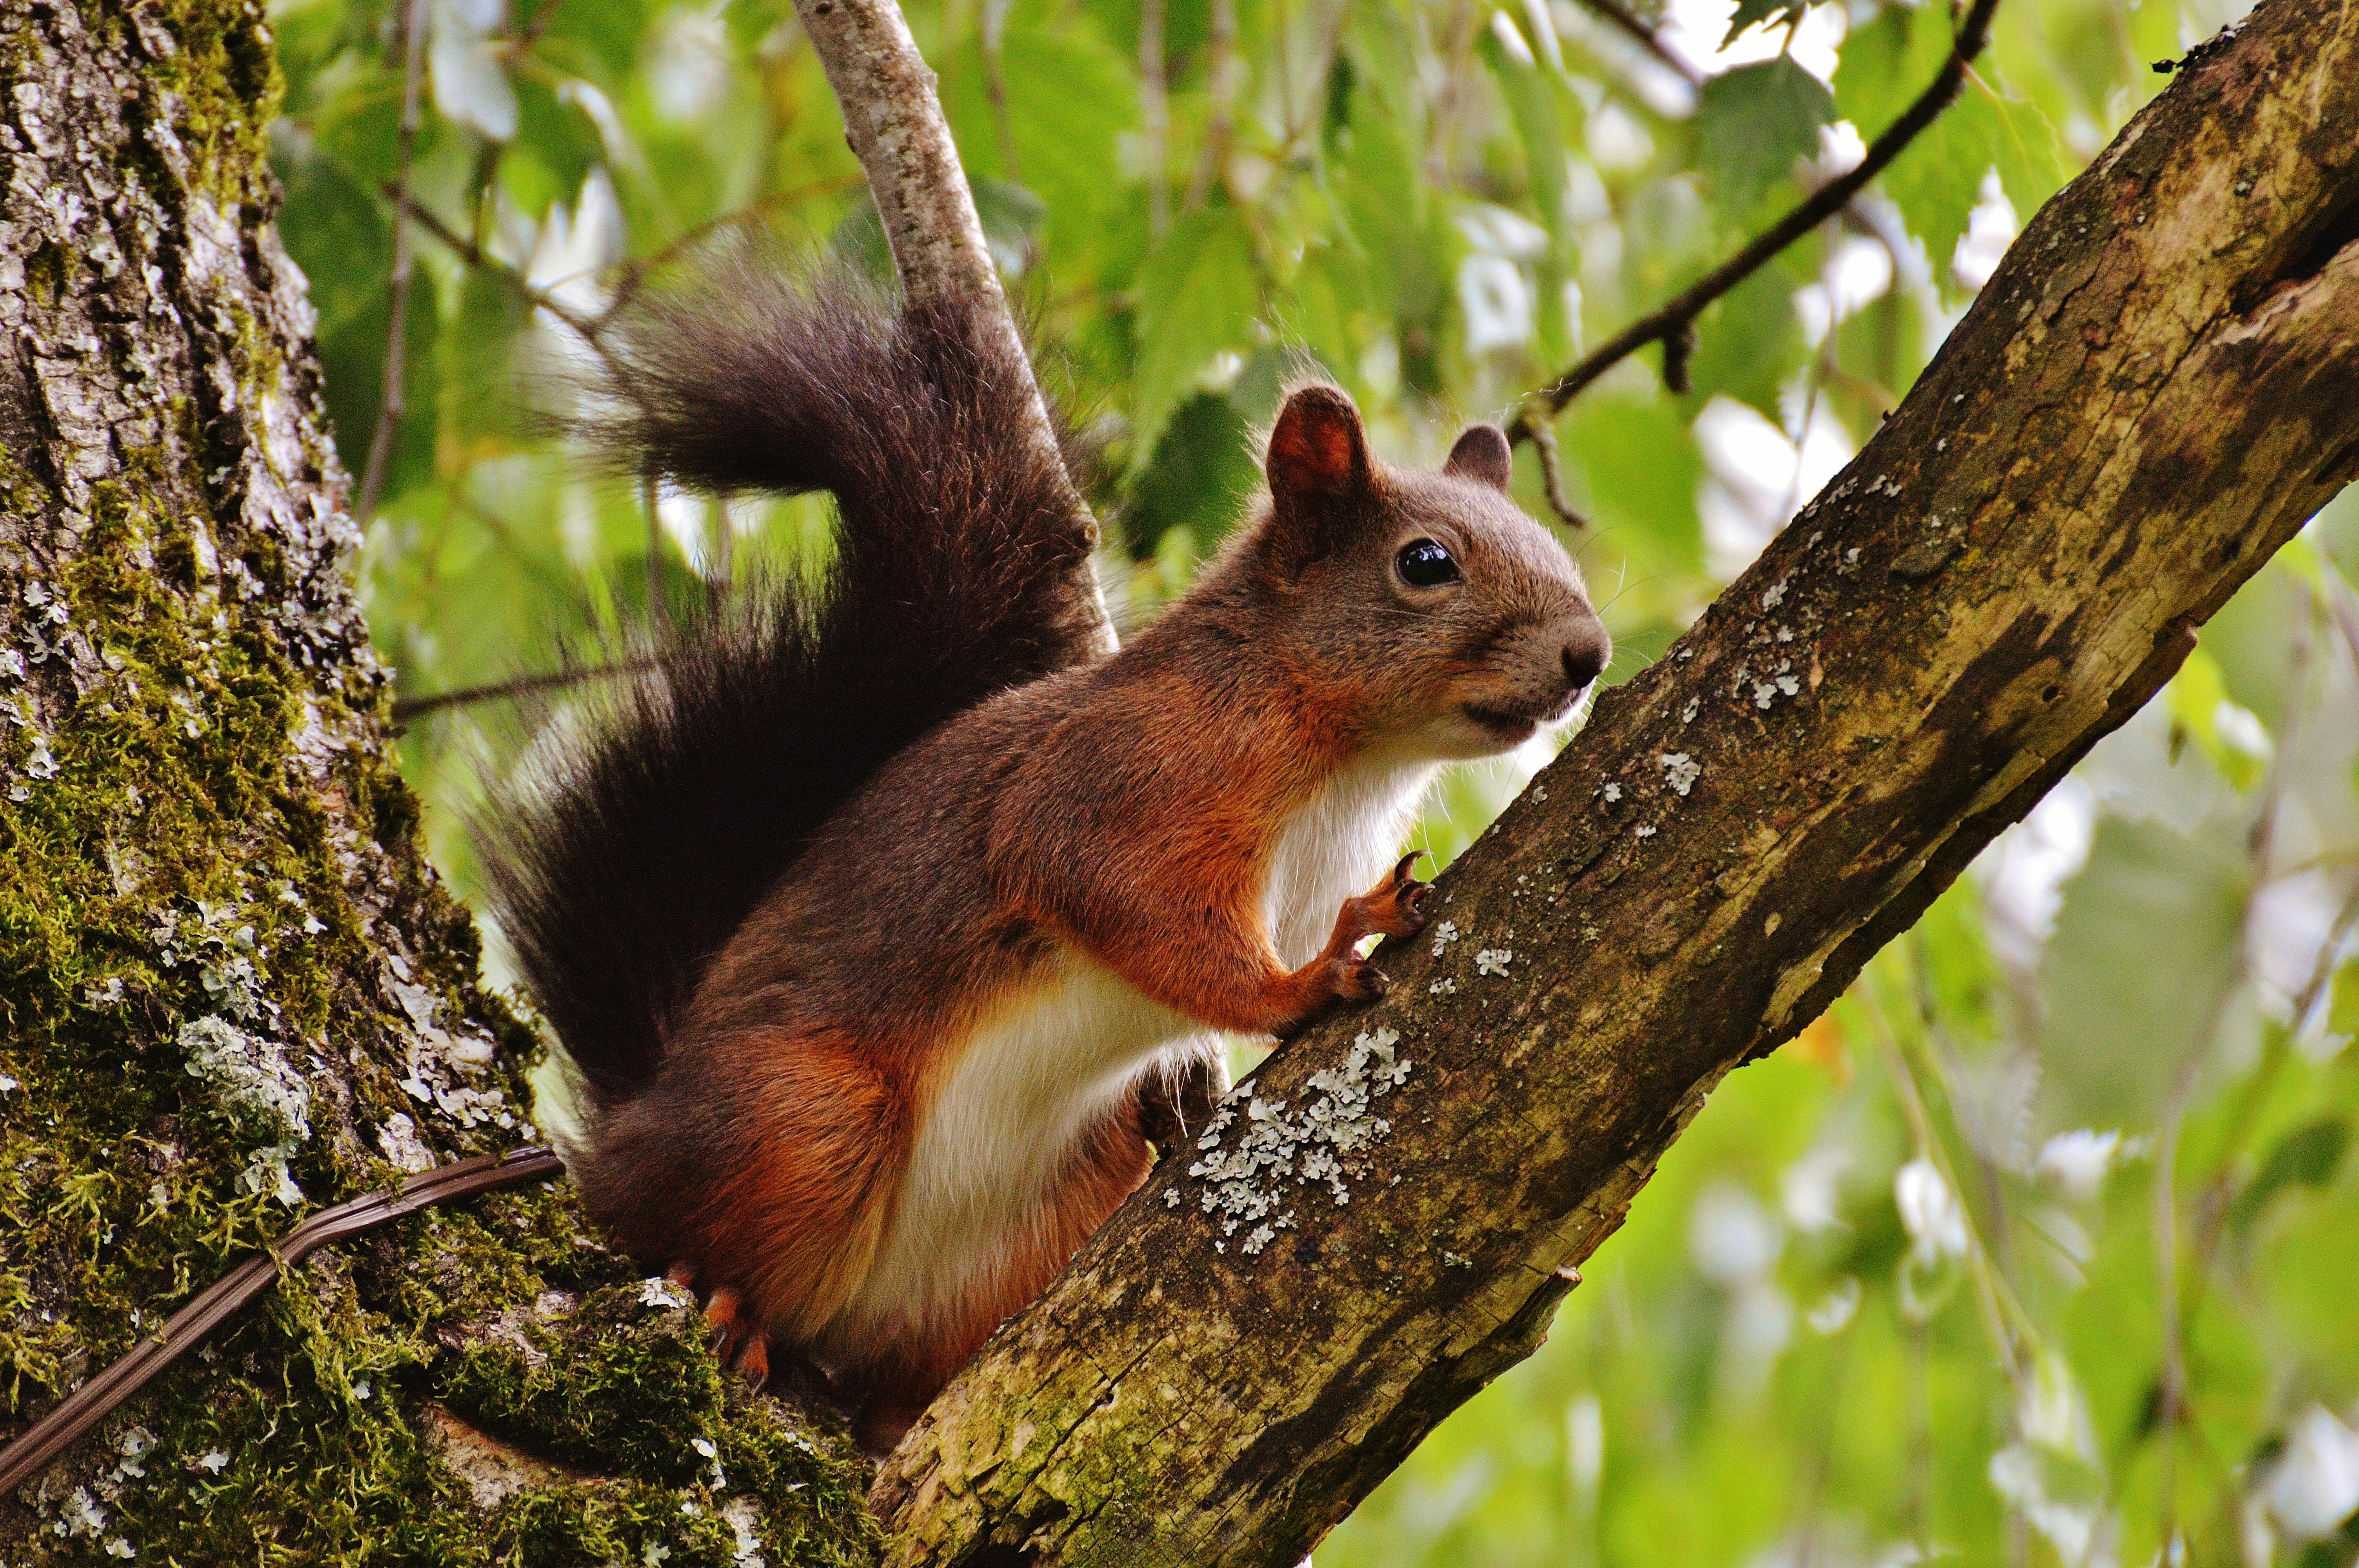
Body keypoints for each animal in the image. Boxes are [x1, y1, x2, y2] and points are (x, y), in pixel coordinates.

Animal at [488, 253, 1613, 1443]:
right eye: (1426, 562)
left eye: (1552, 546)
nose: (1589, 655)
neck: (1355, 764)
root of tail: (630, 1118)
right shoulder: (1120, 783)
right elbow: (1126, 901)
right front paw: (1298, 985)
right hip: (801, 1115)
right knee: (673, 1225)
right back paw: (725, 1301)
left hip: (1050, 1207)